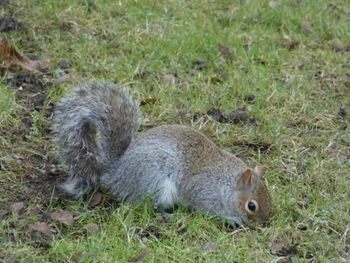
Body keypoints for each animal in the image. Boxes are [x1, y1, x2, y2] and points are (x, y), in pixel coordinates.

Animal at [54, 82, 274, 227]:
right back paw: (168, 216)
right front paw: (232, 218)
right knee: (144, 204)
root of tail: (116, 173)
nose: (264, 222)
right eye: (251, 206)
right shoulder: (202, 190)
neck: (227, 185)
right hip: (154, 181)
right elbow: (205, 206)